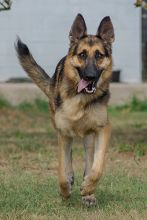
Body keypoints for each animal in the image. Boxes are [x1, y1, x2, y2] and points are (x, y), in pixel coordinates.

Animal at [15, 14, 115, 207]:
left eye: (99, 55)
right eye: (82, 55)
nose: (90, 77)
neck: (81, 100)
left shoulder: (103, 128)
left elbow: (97, 166)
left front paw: (89, 188)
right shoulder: (63, 132)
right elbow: (62, 169)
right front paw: (65, 190)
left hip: (88, 137)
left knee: (89, 159)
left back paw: (88, 193)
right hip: (63, 132)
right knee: (68, 158)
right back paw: (71, 180)